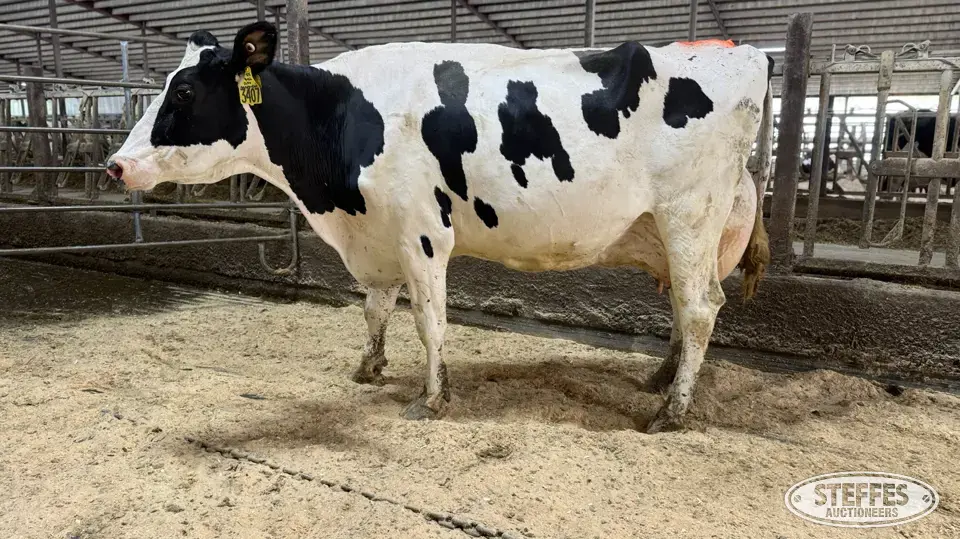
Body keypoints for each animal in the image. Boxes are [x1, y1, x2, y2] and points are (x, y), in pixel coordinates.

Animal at [105, 21, 774, 433]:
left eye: (184, 91)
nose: (114, 165)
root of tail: (741, 51)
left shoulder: (422, 230)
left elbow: (430, 320)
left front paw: (431, 399)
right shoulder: (375, 235)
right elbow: (375, 308)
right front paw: (369, 369)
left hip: (689, 214)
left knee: (700, 308)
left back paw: (672, 411)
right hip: (679, 230)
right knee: (685, 308)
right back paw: (660, 379)